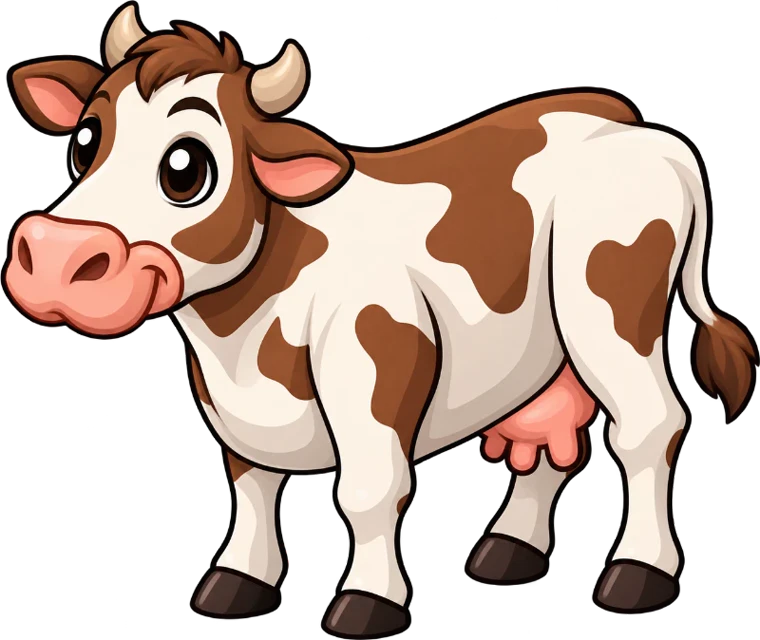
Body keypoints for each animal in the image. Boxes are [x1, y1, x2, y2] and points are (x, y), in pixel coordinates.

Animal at [5, 3, 757, 634]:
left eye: (186, 167)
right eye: (85, 139)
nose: (55, 257)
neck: (239, 339)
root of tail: (637, 129)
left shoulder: (379, 362)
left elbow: (368, 491)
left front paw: (368, 601)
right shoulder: (233, 409)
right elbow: (251, 486)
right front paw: (238, 581)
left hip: (608, 313)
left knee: (649, 426)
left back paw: (638, 571)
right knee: (549, 428)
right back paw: (510, 547)